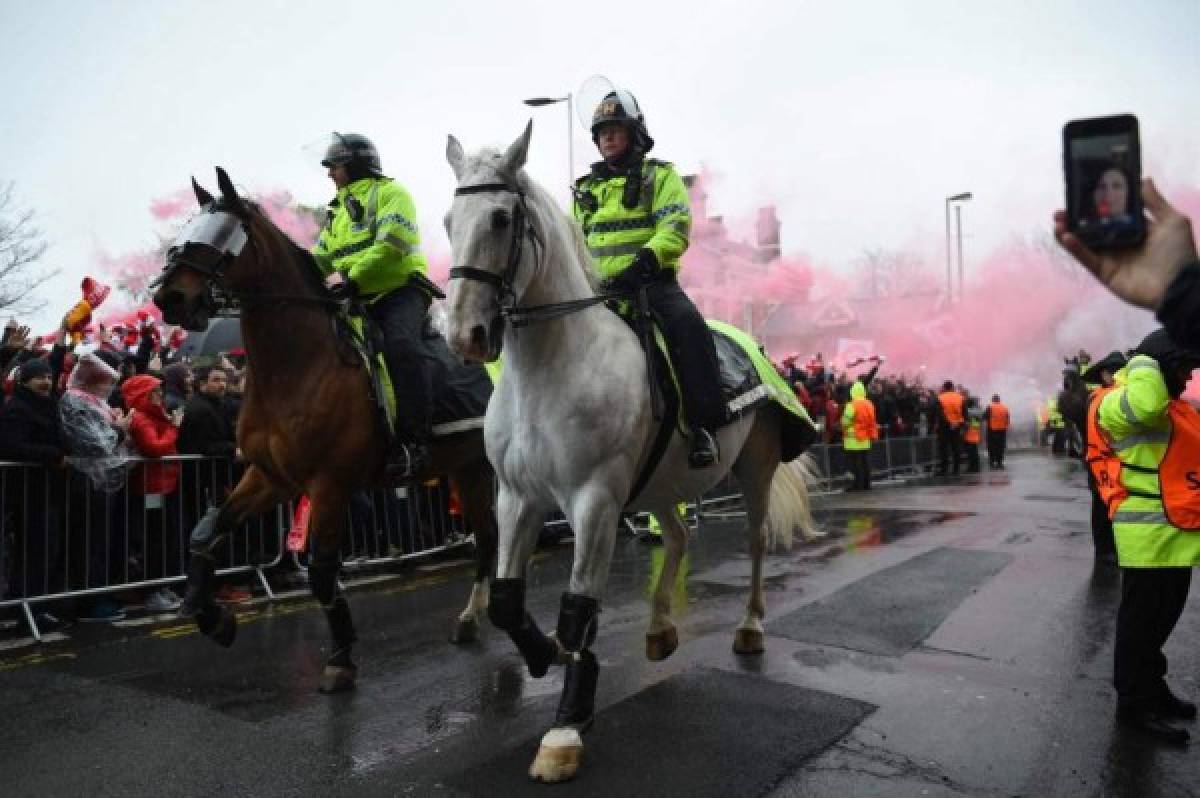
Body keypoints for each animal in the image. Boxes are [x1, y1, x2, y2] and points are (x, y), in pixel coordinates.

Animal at [153, 166, 496, 691]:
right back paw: (472, 618)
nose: (168, 297)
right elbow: (207, 529)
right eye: (188, 226)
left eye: (220, 233)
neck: (297, 367)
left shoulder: (328, 484)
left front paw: (340, 658)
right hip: (467, 468)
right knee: (488, 537)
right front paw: (210, 615)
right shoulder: (271, 477)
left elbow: (320, 572)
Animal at [446, 121, 820, 782]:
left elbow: (577, 605)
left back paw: (749, 627)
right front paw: (544, 653)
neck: (549, 369)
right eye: (447, 220)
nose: (465, 335)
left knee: (753, 542)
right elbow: (508, 602)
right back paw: (660, 629)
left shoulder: (594, 500)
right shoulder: (517, 498)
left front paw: (566, 726)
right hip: (659, 485)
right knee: (677, 536)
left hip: (752, 468)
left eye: (499, 218)